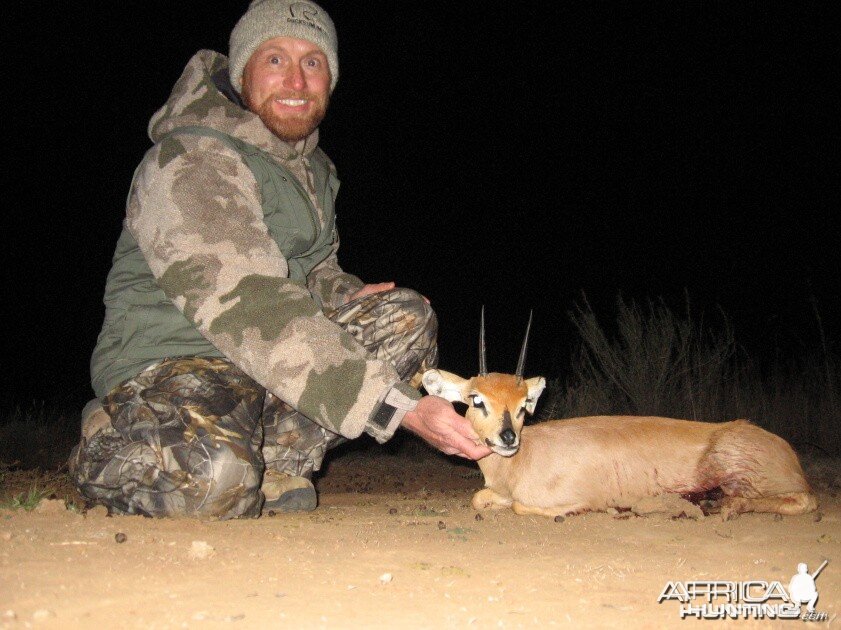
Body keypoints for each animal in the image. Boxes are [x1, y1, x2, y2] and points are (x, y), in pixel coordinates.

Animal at [424, 312, 816, 524]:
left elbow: (520, 505)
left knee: (805, 500)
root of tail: (788, 453)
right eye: (477, 400)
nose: (508, 438)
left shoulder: (566, 499)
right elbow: (480, 498)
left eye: (523, 406)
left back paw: (725, 507)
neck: (519, 464)